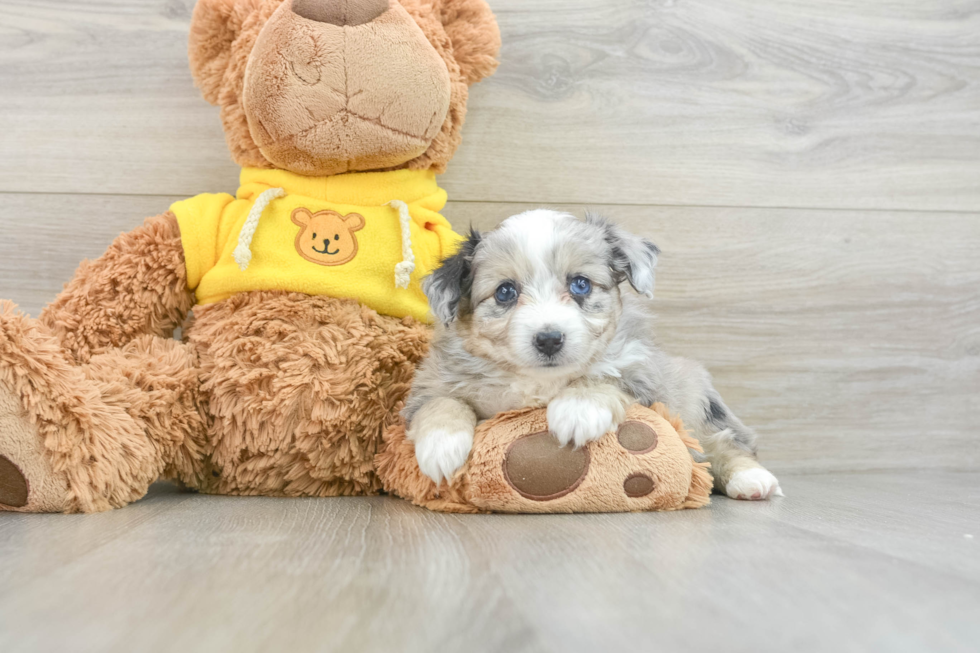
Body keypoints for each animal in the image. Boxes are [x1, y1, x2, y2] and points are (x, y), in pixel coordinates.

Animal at [400, 209, 780, 500]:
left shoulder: (643, 372)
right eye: (505, 292)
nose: (549, 339)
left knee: (724, 443)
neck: (540, 381)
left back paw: (752, 479)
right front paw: (440, 447)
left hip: (695, 401)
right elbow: (443, 402)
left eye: (580, 284)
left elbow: (606, 375)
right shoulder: (431, 383)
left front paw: (577, 411)